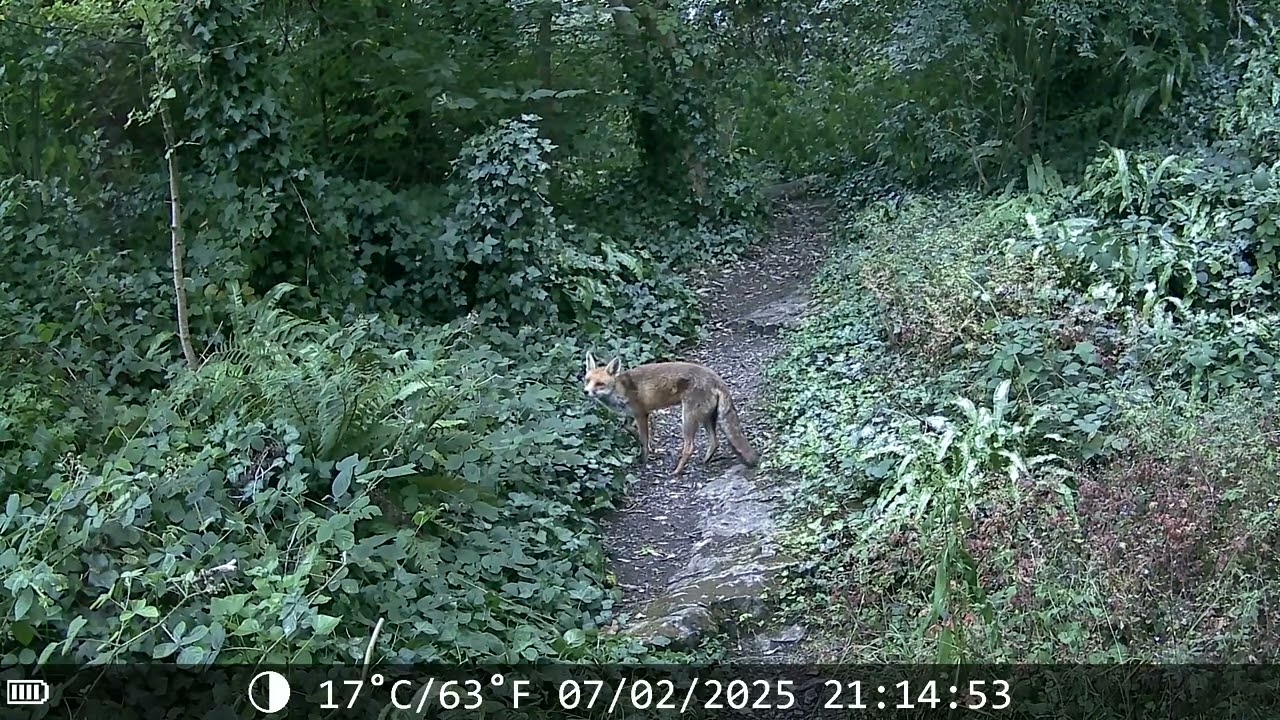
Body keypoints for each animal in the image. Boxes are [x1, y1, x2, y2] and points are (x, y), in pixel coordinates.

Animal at [582, 352, 760, 477]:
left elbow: (643, 441)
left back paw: (677, 471)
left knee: (690, 447)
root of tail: (717, 378)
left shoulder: (642, 414)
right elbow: (629, 429)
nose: (585, 392)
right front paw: (650, 447)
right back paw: (706, 460)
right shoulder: (631, 415)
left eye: (600, 384)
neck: (620, 389)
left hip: (688, 418)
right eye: (587, 380)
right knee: (715, 442)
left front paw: (644, 459)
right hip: (707, 418)